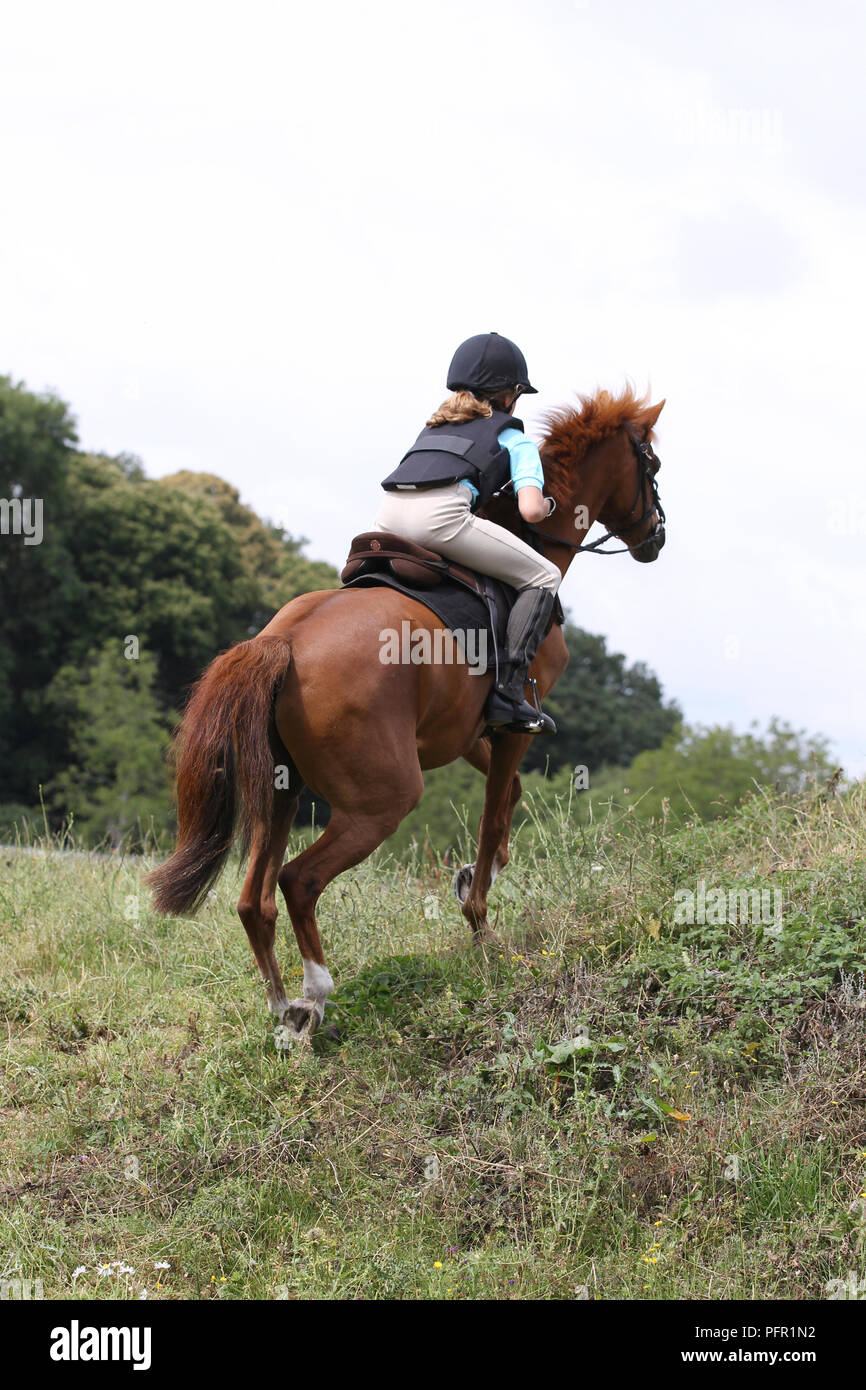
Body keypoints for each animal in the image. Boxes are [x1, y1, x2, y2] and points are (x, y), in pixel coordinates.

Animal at [146, 387, 666, 1040]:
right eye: (651, 466)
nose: (656, 538)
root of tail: (282, 641)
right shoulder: (515, 722)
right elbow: (495, 811)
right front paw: (481, 923)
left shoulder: (467, 732)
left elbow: (510, 796)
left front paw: (475, 874)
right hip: (382, 799)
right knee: (298, 880)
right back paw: (316, 996)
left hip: (281, 788)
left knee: (253, 898)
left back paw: (282, 1010)